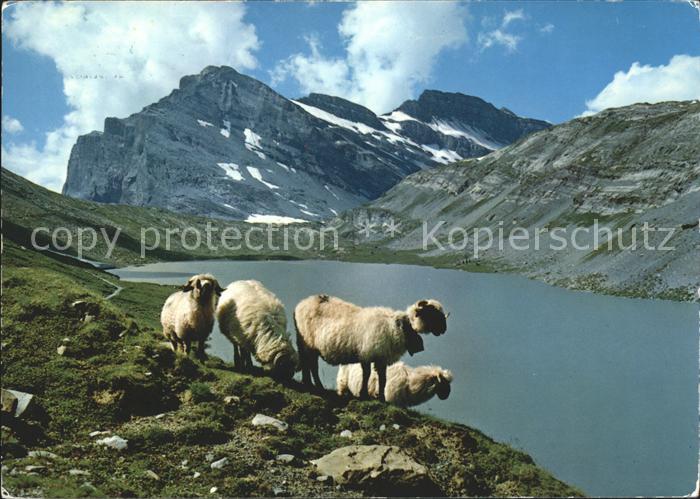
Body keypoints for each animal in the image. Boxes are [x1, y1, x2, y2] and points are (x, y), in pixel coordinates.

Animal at [294, 295, 447, 401]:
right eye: (431, 312)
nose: (444, 329)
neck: (399, 327)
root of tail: (301, 304)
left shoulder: (381, 357)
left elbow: (383, 378)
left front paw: (381, 398)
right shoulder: (366, 354)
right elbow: (366, 374)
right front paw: (364, 395)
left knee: (309, 364)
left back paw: (310, 384)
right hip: (307, 342)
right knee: (311, 365)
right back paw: (314, 386)